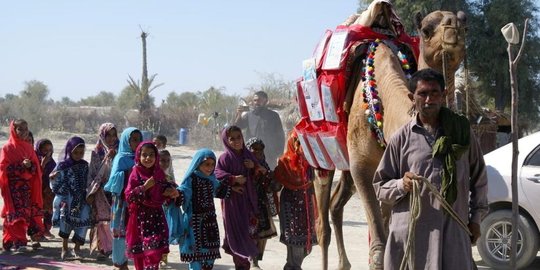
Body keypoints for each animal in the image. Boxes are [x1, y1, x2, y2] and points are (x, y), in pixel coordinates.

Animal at [314, 8, 466, 270]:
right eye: (426, 30)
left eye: (465, 24)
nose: (453, 27)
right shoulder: (361, 166)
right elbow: (379, 248)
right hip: (319, 152)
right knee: (323, 223)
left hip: (345, 166)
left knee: (336, 204)